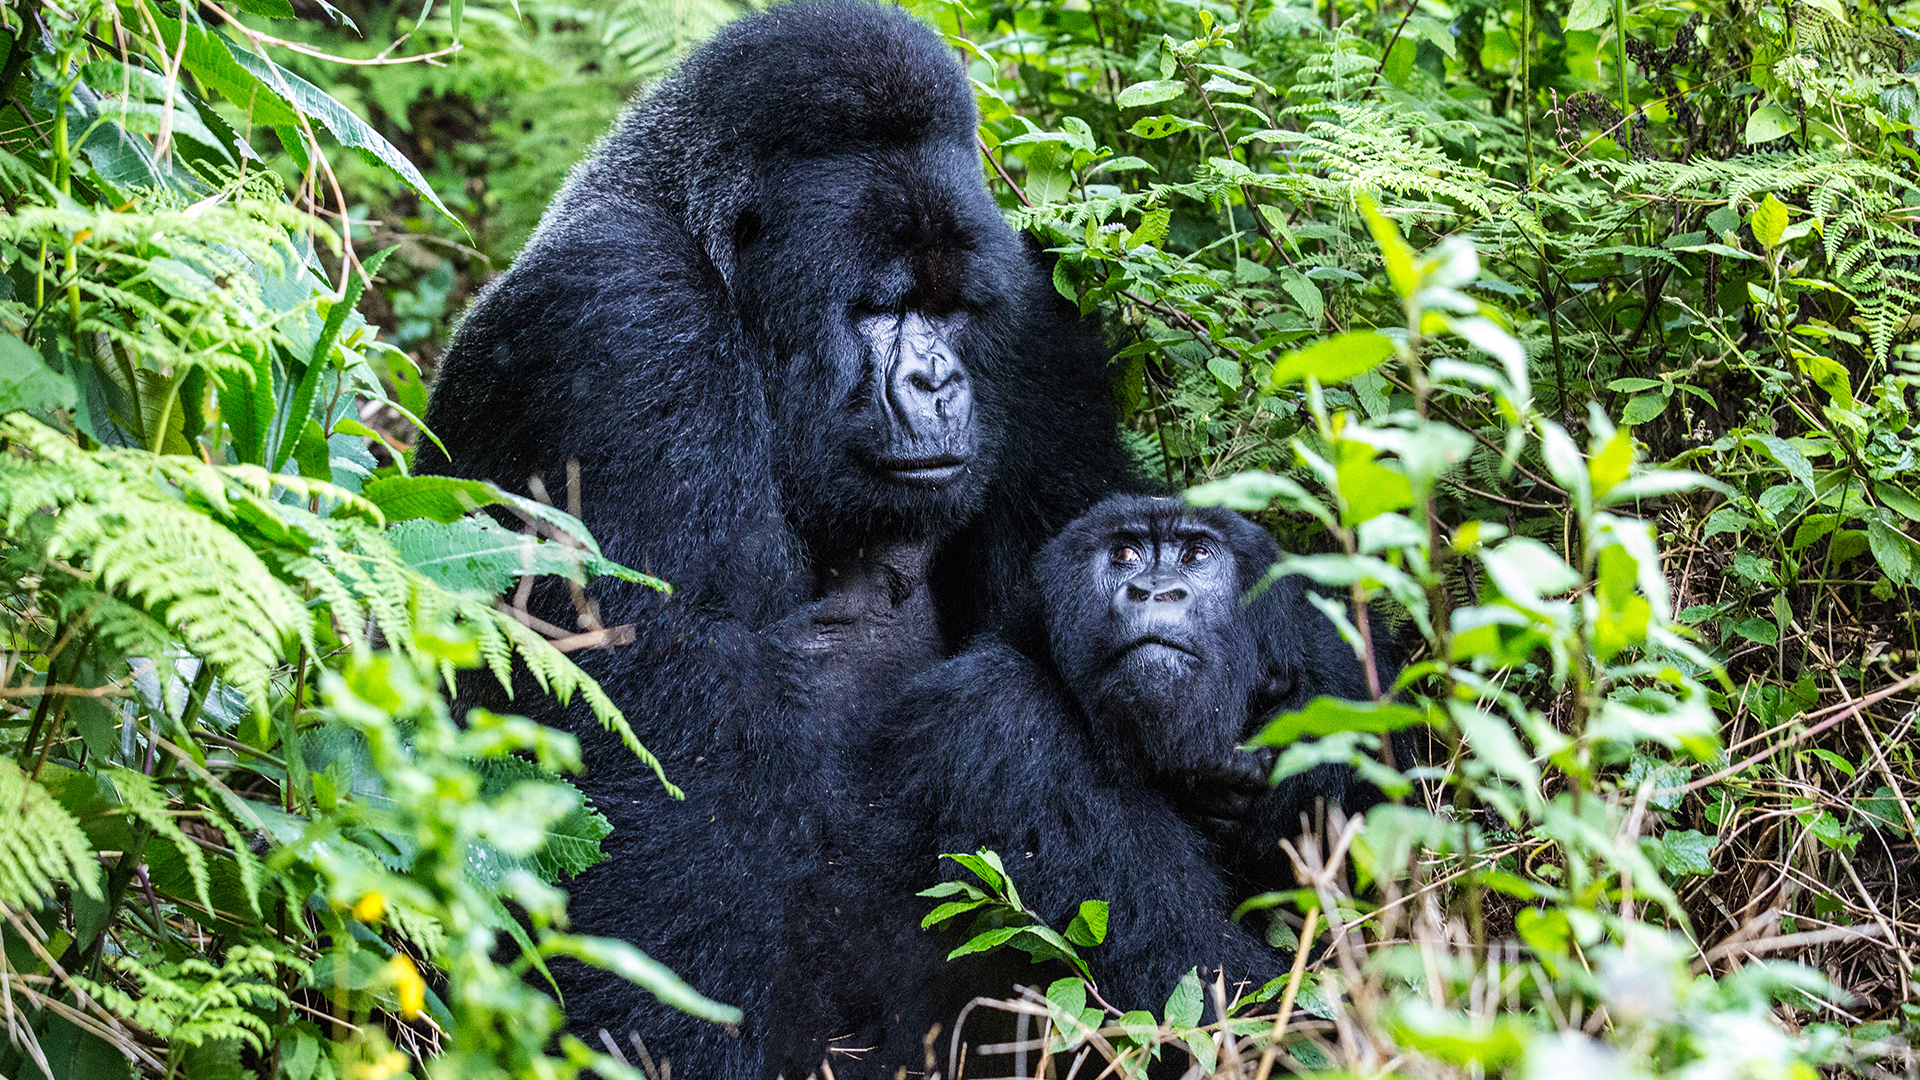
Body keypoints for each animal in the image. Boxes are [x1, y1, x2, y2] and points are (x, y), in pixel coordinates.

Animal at [416, 4, 1136, 1068]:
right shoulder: (626, 322)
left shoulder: (1032, 320)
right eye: (881, 307)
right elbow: (652, 762)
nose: (938, 383)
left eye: (952, 309)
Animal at [794, 495, 1413, 1068]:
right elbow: (1207, 986)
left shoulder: (1340, 670)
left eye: (1197, 555)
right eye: (1124, 555)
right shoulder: (1007, 718)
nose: (1155, 592)